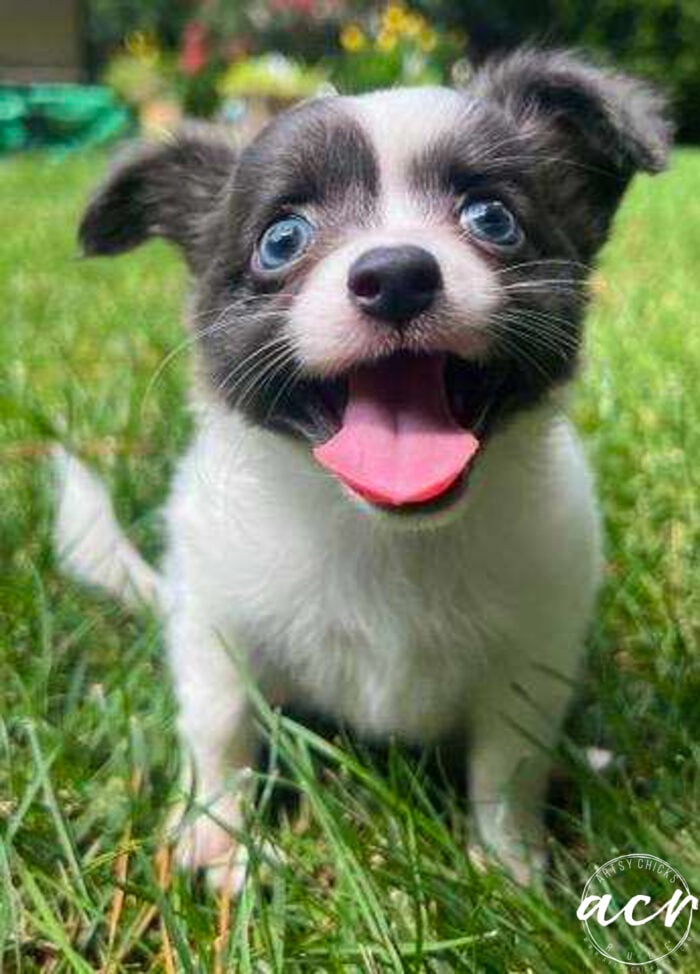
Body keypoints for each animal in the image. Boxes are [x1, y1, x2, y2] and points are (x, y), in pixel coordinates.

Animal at [56, 53, 672, 892]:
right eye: (282, 239)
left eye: (492, 219)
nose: (399, 274)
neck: (383, 536)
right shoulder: (215, 625)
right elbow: (220, 734)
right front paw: (219, 838)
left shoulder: (529, 660)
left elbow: (506, 770)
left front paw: (509, 869)